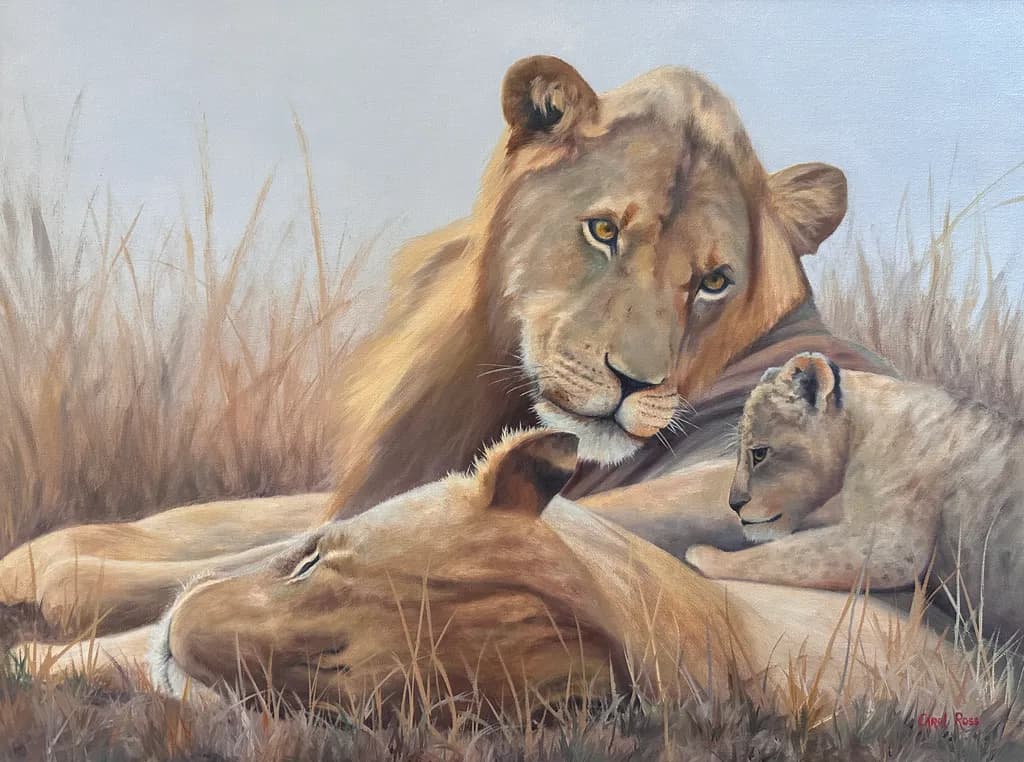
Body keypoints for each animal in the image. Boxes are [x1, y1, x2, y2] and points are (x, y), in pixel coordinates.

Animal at [0, 55, 893, 637]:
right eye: (604, 231)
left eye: (712, 281)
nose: (635, 382)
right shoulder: (391, 477)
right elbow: (211, 515)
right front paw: (47, 547)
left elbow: (251, 543)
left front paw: (54, 570)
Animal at [685, 352, 1024, 640]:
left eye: (759, 453)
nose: (734, 504)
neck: (862, 424)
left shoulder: (892, 547)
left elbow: (780, 555)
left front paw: (704, 556)